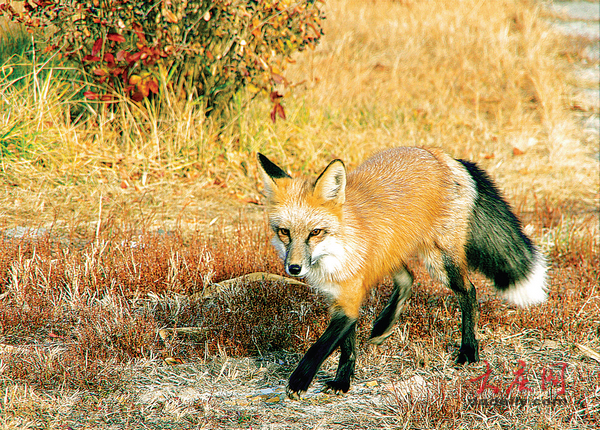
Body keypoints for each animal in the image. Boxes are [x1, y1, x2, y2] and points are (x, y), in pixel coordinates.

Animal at [255, 148, 548, 400]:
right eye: (284, 232)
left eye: (315, 232)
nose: (294, 268)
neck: (336, 254)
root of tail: (442, 156)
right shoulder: (344, 297)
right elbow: (346, 346)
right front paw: (342, 381)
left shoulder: (348, 298)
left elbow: (321, 346)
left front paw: (300, 380)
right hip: (391, 252)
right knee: (408, 278)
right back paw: (384, 325)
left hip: (439, 261)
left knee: (468, 291)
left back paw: (468, 350)